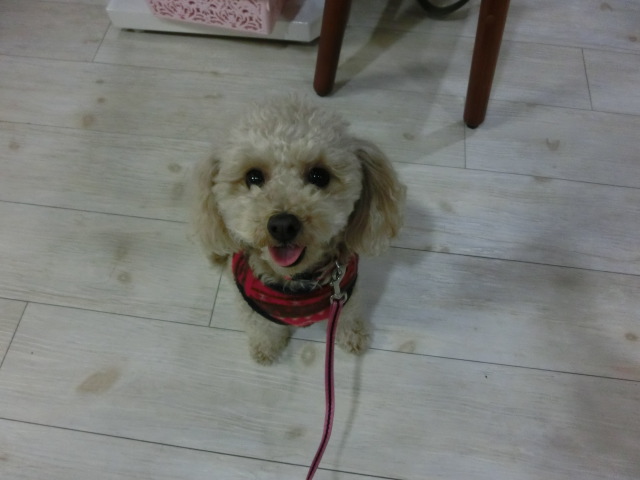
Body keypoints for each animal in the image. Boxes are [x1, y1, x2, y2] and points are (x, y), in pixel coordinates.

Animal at [193, 96, 406, 364]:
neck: (297, 281)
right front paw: (266, 349)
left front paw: (354, 336)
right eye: (253, 177)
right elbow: (264, 328)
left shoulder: (346, 296)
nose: (283, 225)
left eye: (319, 175)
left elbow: (348, 318)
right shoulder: (252, 308)